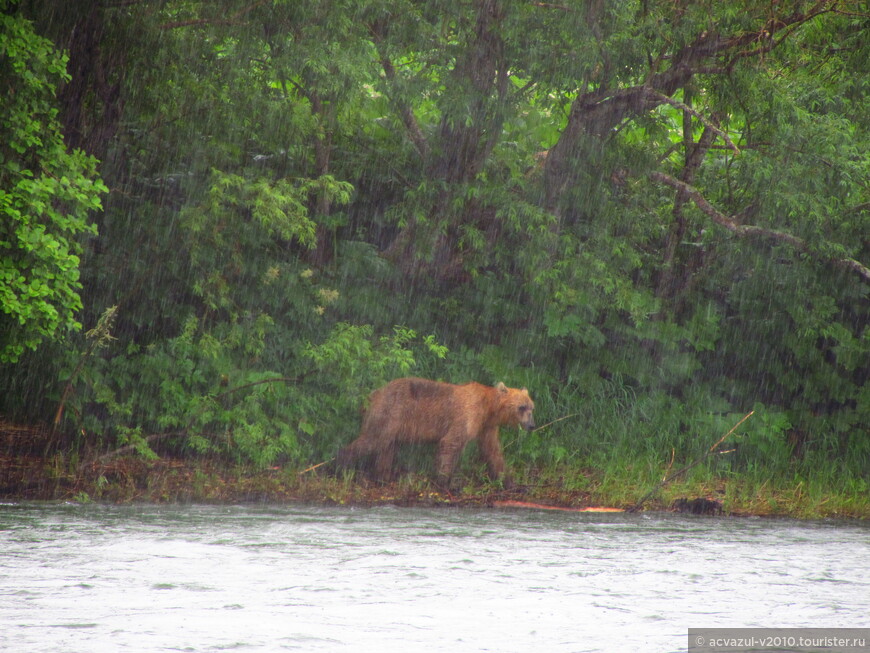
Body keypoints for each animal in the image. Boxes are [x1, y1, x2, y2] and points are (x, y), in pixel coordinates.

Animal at [336, 376, 536, 484]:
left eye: (532, 407)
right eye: (522, 407)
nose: (532, 425)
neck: (489, 409)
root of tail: (373, 394)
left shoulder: (486, 426)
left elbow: (493, 451)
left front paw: (509, 481)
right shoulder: (468, 415)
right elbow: (450, 443)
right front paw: (445, 481)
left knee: (387, 448)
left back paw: (383, 476)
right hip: (390, 411)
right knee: (374, 440)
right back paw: (341, 466)